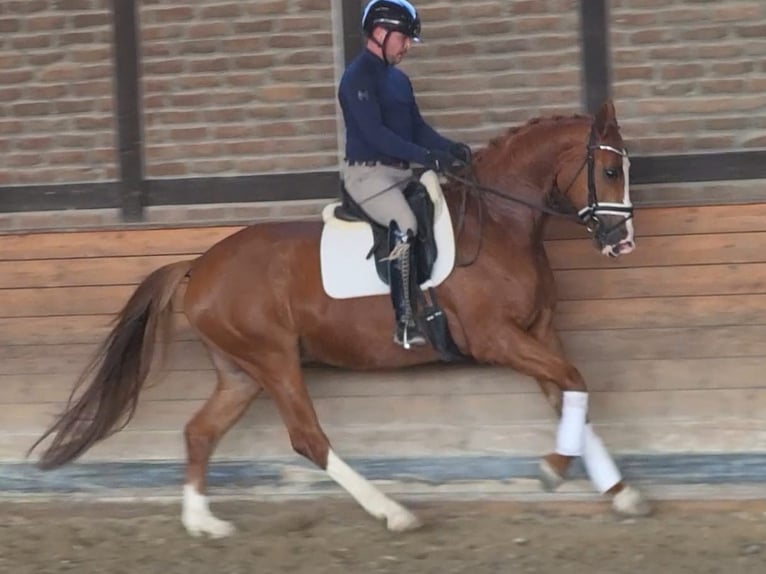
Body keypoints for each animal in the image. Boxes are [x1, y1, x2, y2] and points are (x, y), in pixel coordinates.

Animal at [33, 100, 652, 540]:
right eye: (607, 169)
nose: (621, 242)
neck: (499, 222)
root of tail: (198, 265)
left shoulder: (540, 331)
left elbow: (572, 393)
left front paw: (618, 491)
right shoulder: (498, 338)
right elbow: (574, 382)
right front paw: (554, 469)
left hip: (241, 372)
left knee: (200, 431)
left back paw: (203, 523)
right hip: (274, 358)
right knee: (308, 437)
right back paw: (394, 513)